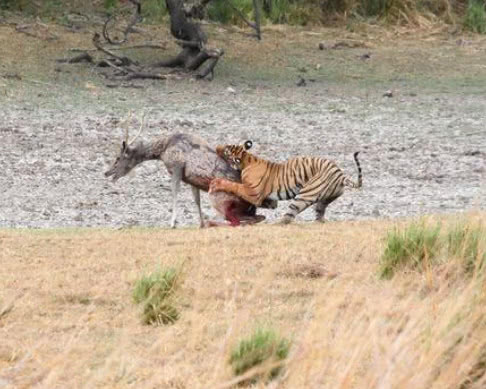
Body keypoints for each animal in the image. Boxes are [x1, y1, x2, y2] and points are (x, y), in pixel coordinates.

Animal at [104, 116, 276, 229]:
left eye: (118, 158)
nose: (106, 173)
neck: (162, 150)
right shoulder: (191, 179)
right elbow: (196, 200)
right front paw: (200, 223)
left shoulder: (176, 166)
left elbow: (175, 192)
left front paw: (172, 223)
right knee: (257, 217)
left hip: (219, 197)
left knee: (238, 220)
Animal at [209, 140, 360, 224]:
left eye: (226, 150)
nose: (216, 147)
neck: (247, 160)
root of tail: (340, 174)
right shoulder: (267, 199)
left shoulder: (252, 192)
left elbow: (233, 185)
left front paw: (216, 183)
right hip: (325, 199)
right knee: (320, 214)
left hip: (304, 195)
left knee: (288, 217)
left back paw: (276, 225)